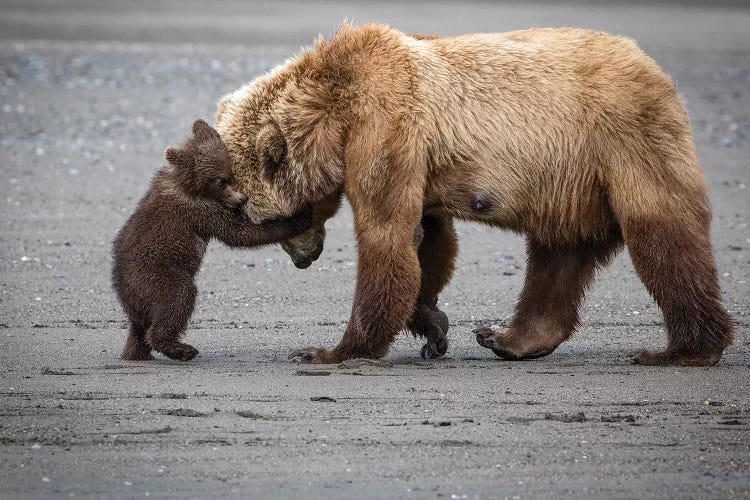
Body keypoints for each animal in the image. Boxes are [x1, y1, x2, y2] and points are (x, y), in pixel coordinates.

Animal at [216, 23, 736, 366]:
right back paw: (509, 338)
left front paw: (330, 350)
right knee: (558, 256)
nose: (304, 260)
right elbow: (427, 242)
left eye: (269, 219)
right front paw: (432, 325)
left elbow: (387, 236)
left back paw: (683, 350)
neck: (334, 109)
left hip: (624, 141)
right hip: (570, 183)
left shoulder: (386, 124)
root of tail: (655, 69)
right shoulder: (418, 158)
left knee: (662, 235)